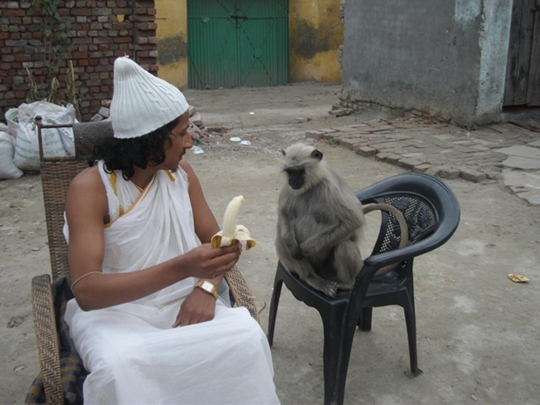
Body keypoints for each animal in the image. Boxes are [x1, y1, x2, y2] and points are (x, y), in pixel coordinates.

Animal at [274, 143, 368, 296]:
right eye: (290, 171)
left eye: (299, 171)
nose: (292, 180)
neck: (311, 186)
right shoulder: (289, 188)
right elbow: (283, 213)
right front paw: (291, 245)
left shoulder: (330, 187)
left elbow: (352, 221)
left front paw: (305, 249)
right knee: (281, 233)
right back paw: (310, 277)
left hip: (329, 269)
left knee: (344, 243)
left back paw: (346, 283)